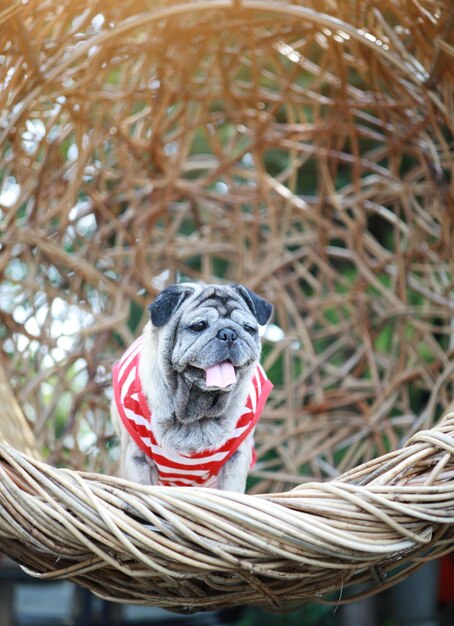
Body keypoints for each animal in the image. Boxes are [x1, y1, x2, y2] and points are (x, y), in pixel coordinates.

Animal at [111, 280, 274, 490]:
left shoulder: (237, 458)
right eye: (199, 326)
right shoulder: (137, 458)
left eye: (248, 328)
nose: (229, 333)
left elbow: (232, 489)